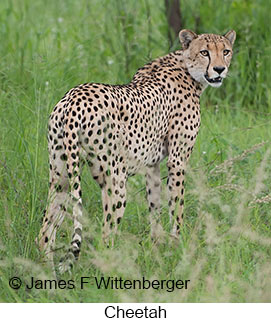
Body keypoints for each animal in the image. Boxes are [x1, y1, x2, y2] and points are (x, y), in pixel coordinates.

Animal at [37, 29, 236, 272]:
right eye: (205, 52)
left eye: (225, 51)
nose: (219, 69)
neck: (188, 68)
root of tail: (73, 99)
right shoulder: (177, 160)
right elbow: (176, 207)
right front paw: (177, 246)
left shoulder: (152, 165)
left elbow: (155, 206)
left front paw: (156, 247)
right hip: (115, 182)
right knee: (105, 237)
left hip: (62, 176)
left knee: (45, 234)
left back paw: (47, 275)